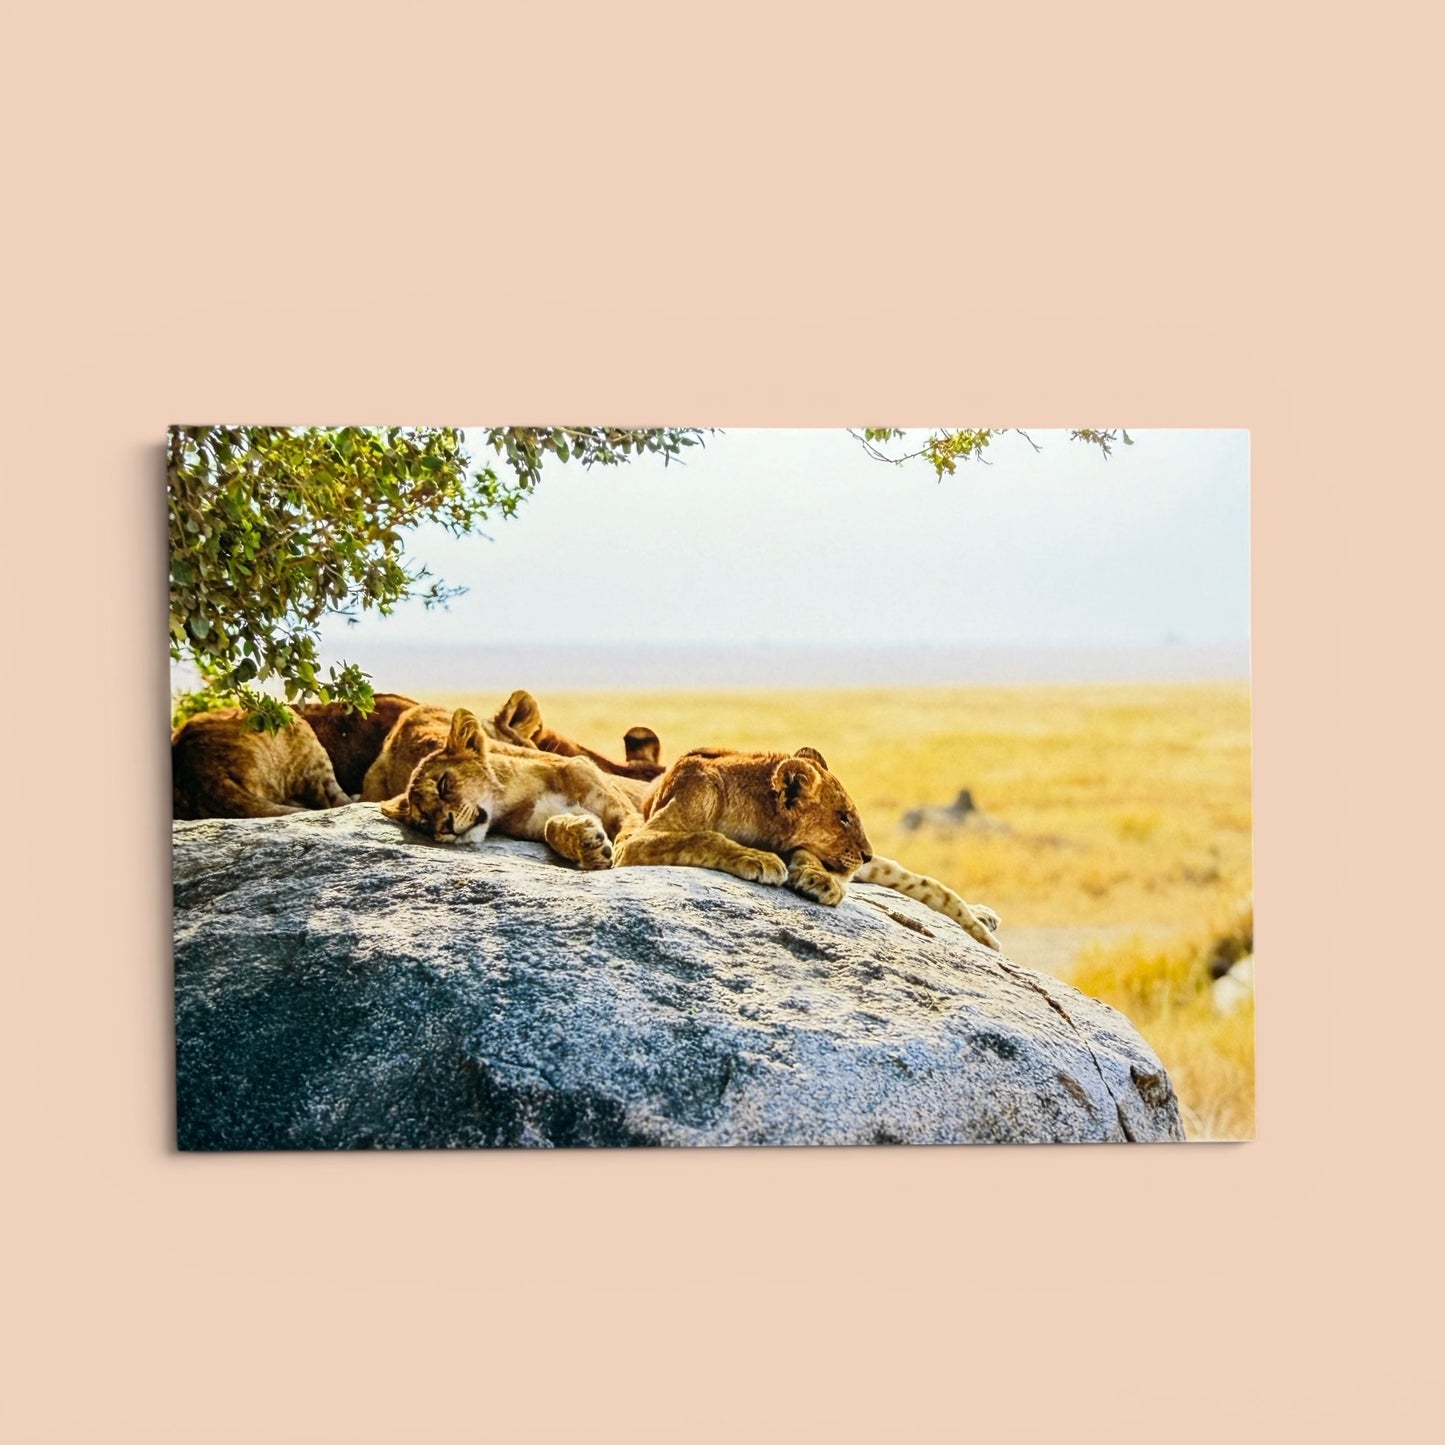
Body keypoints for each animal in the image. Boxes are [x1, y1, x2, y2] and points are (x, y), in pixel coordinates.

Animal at [376, 707, 642, 870]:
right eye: (423, 820)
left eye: (443, 784)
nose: (445, 828)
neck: (522, 796)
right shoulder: (533, 826)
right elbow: (551, 828)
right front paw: (587, 843)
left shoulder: (621, 808)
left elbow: (630, 831)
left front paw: (622, 854)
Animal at [612, 745, 1001, 950]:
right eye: (844, 817)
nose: (866, 854)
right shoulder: (631, 844)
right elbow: (701, 837)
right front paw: (757, 859)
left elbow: (809, 856)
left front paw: (818, 881)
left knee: (928, 885)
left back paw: (983, 924)